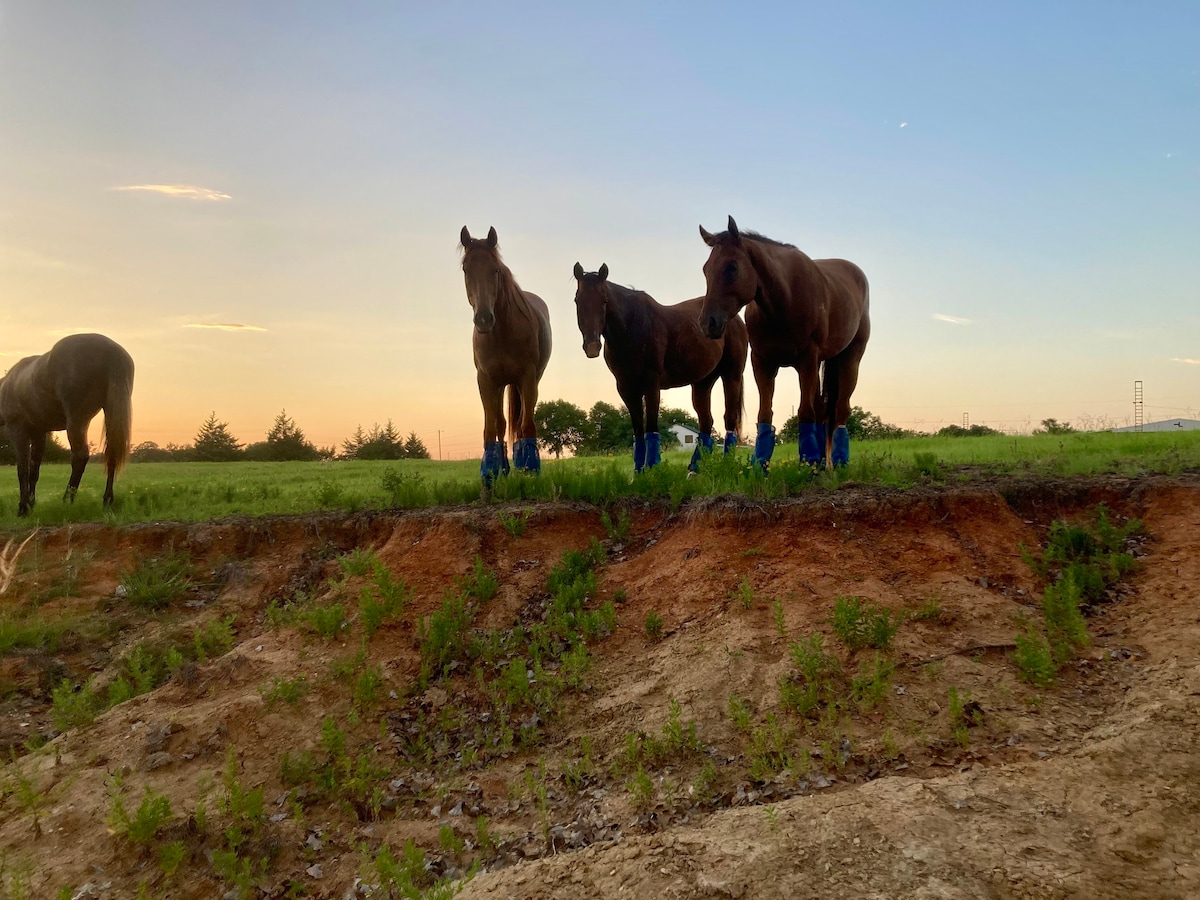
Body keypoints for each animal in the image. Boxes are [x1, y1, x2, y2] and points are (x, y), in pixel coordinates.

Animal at [0, 333, 136, 518]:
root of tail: (112, 352)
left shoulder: (18, 429)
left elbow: (22, 469)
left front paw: (23, 508)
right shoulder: (39, 433)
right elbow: (34, 470)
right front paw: (31, 503)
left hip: (77, 421)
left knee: (80, 456)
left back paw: (67, 500)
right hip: (111, 414)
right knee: (112, 454)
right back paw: (107, 500)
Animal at [458, 226, 552, 480]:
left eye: (496, 270)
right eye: (466, 269)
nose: (484, 319)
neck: (501, 334)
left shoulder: (527, 378)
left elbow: (526, 424)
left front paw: (532, 469)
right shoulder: (486, 380)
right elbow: (492, 427)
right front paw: (489, 472)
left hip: (528, 381)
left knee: (520, 421)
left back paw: (521, 462)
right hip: (501, 384)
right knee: (501, 423)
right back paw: (504, 467)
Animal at [568, 264, 744, 475]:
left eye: (604, 300)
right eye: (577, 300)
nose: (592, 347)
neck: (632, 327)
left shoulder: (651, 383)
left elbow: (651, 426)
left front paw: (651, 469)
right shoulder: (626, 388)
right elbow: (638, 430)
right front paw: (638, 472)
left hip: (731, 376)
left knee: (729, 419)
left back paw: (727, 465)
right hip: (703, 382)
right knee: (706, 422)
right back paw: (694, 470)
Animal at [696, 217, 873, 472]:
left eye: (731, 267)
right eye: (705, 269)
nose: (706, 323)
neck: (785, 301)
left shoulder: (807, 360)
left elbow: (805, 412)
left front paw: (808, 464)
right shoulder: (762, 363)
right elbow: (765, 413)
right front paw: (761, 464)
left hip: (850, 359)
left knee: (840, 409)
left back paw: (837, 461)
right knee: (823, 409)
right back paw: (822, 461)